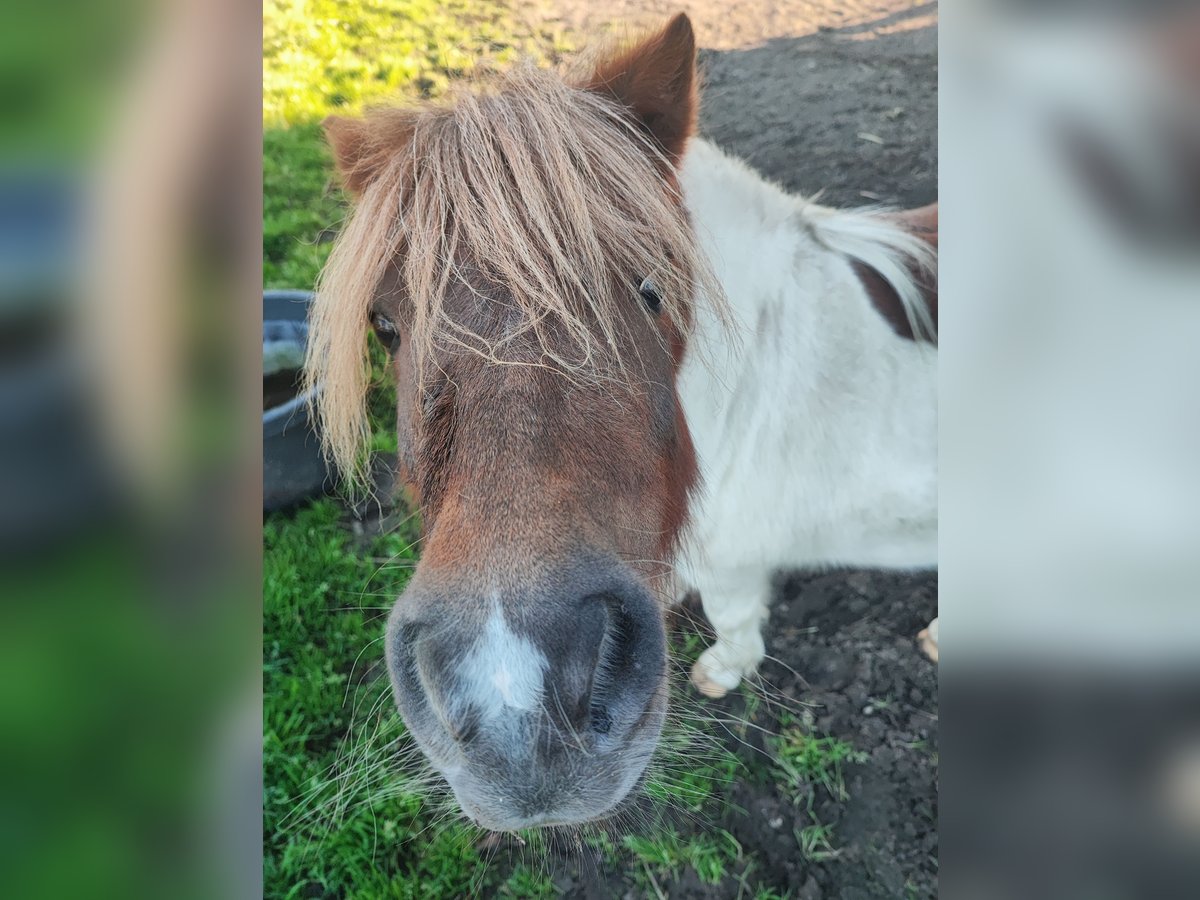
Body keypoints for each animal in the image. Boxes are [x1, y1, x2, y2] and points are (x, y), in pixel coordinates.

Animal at [307, 14, 936, 830]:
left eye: (650, 289)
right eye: (384, 325)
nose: (515, 703)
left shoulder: (735, 561)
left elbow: (735, 618)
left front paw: (723, 670)